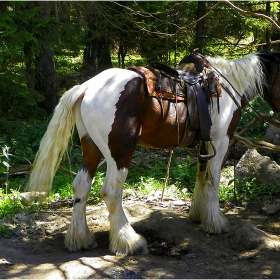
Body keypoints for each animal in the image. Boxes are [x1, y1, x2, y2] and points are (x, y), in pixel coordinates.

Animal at [26, 50, 280, 256]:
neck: (228, 84)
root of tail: (86, 88)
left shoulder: (204, 143)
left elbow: (200, 176)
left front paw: (197, 215)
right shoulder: (220, 140)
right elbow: (212, 180)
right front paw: (215, 222)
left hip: (91, 147)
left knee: (81, 187)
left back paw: (80, 239)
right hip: (120, 152)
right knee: (110, 192)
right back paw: (129, 242)